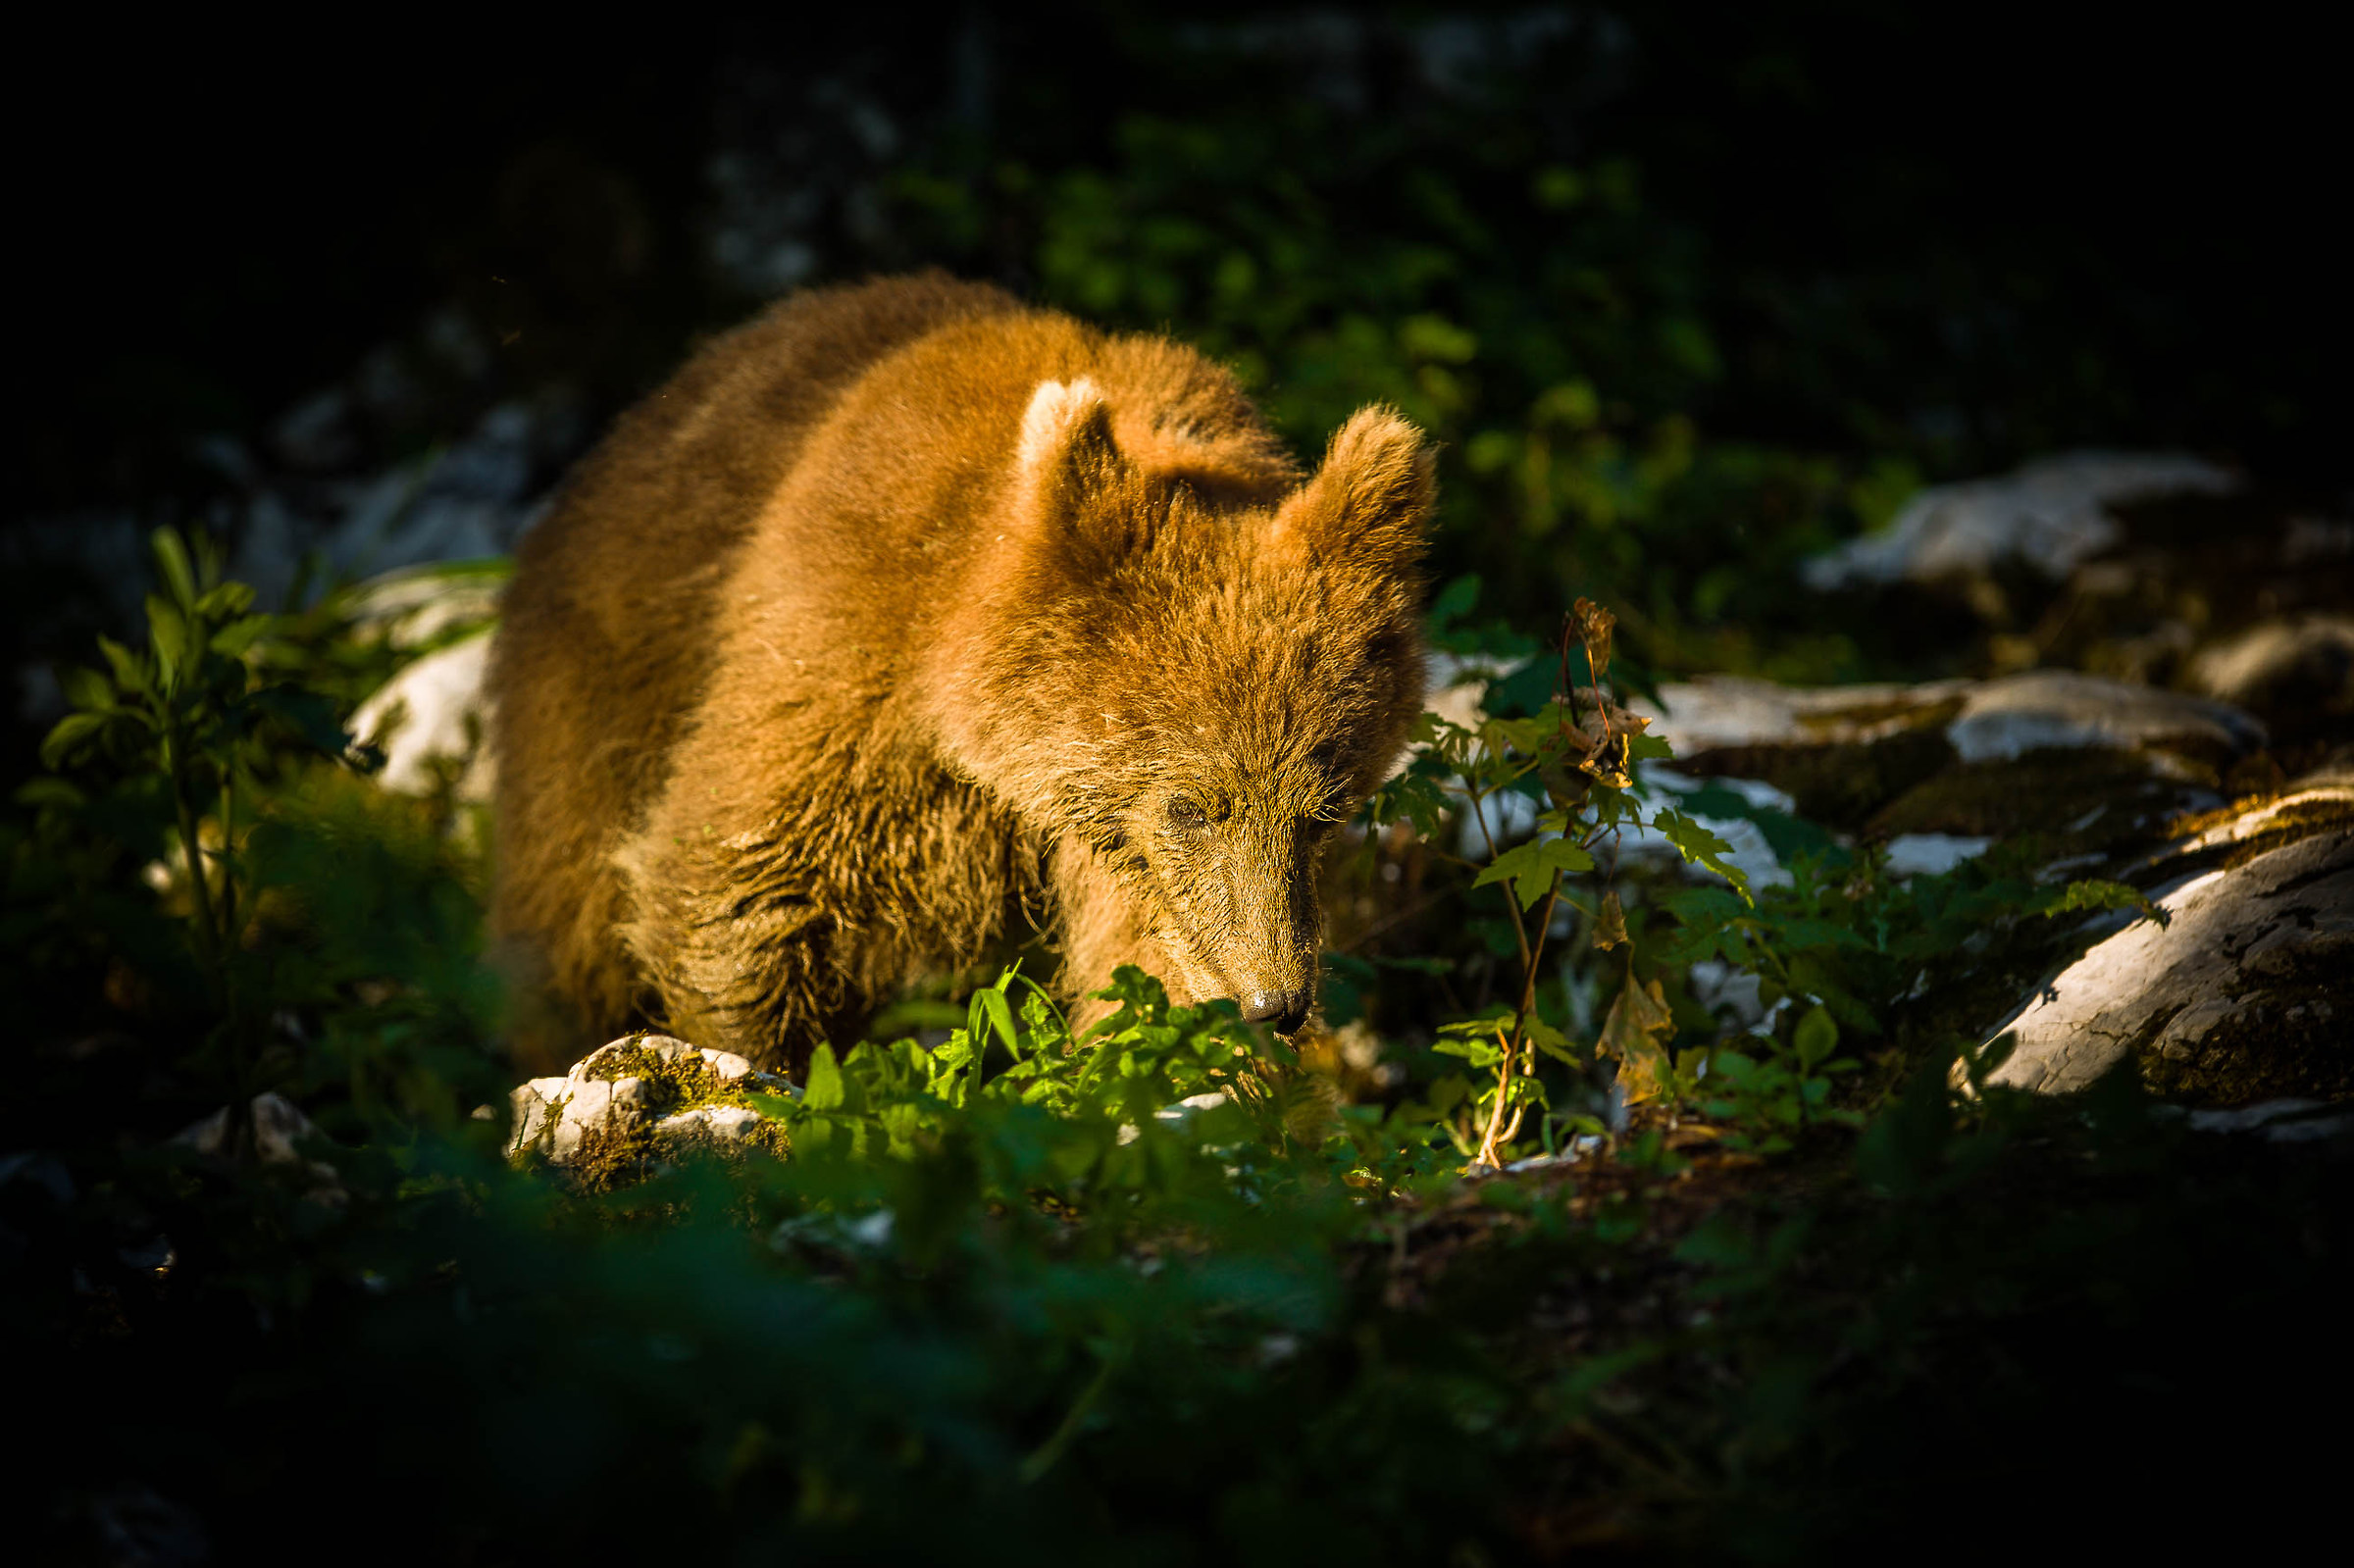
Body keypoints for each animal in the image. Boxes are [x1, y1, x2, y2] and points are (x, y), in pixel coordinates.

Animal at [487, 272, 1432, 1074]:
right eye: (1191, 803)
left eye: (1326, 807)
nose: (1274, 1001)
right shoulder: (839, 654)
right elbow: (733, 880)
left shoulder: (1103, 845)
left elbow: (1139, 966)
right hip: (598, 687)